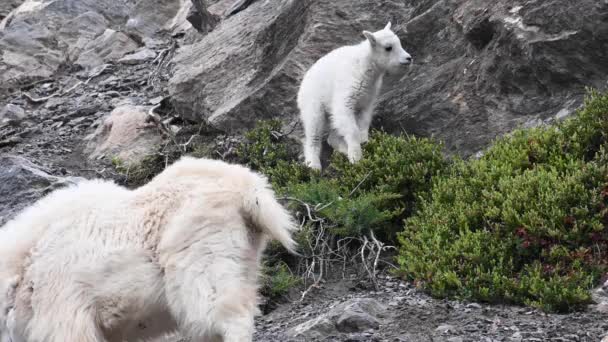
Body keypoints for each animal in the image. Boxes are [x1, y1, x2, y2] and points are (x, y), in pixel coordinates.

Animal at [296, 22, 410, 170]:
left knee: (332, 135)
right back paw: (314, 165)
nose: (408, 58)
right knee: (314, 132)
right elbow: (350, 126)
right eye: (388, 48)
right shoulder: (346, 95)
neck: (366, 66)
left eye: (399, 43)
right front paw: (356, 157)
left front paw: (364, 143)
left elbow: (364, 122)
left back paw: (343, 149)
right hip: (313, 104)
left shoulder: (366, 100)